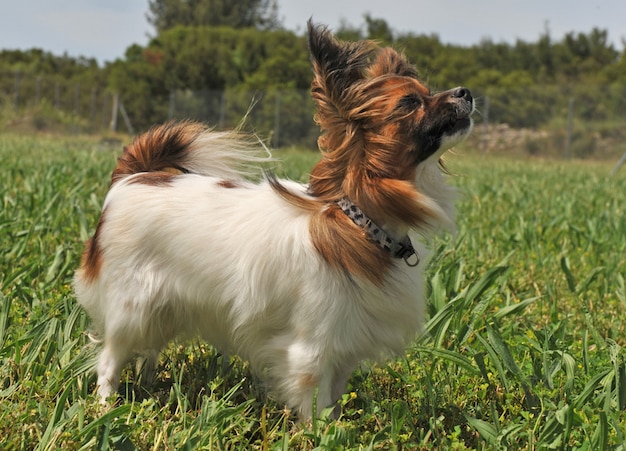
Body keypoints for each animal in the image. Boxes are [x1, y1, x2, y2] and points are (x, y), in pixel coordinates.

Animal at [73, 22, 470, 420]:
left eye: (427, 92)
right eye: (411, 103)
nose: (465, 91)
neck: (359, 224)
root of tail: (133, 177)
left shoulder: (344, 346)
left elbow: (334, 401)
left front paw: (338, 426)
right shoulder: (312, 349)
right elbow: (316, 404)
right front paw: (318, 430)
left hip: (164, 308)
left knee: (148, 352)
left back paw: (149, 386)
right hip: (133, 308)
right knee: (109, 360)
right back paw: (107, 406)